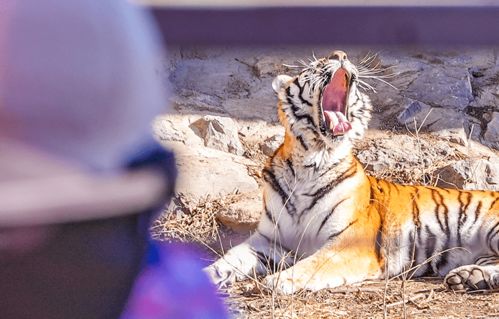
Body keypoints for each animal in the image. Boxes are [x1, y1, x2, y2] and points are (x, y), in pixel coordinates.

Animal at [204, 49, 499, 296]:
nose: (340, 54)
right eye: (315, 65)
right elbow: (229, 258)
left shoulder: (350, 243)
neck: (310, 161)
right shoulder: (268, 240)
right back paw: (468, 278)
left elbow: (315, 263)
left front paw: (278, 281)